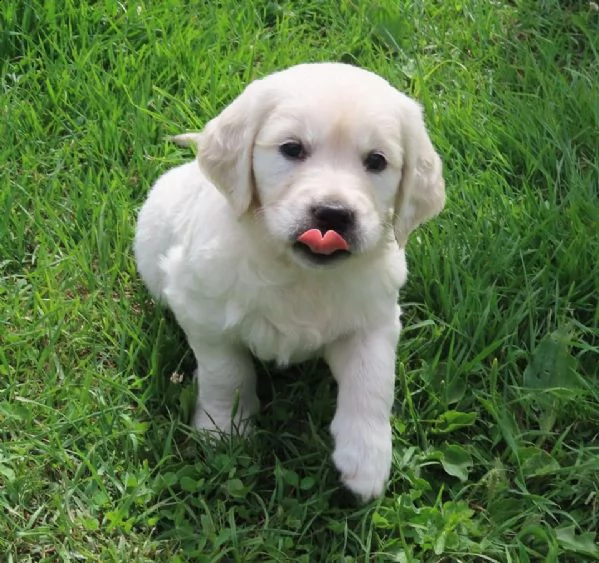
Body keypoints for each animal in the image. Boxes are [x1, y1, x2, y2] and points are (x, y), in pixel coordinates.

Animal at [136, 62, 446, 502]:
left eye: (377, 161)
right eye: (292, 149)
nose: (333, 214)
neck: (298, 272)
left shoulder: (374, 319)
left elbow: (372, 380)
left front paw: (367, 458)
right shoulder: (202, 311)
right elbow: (226, 373)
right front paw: (223, 431)